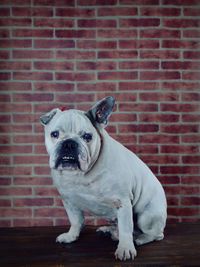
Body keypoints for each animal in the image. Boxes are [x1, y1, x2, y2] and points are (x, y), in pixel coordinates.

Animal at [39, 97, 166, 262]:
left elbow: (126, 228)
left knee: (154, 234)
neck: (80, 174)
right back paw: (108, 231)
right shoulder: (69, 201)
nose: (69, 143)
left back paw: (139, 239)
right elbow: (75, 221)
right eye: (54, 134)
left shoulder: (122, 202)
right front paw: (71, 236)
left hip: (146, 217)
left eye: (87, 137)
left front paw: (125, 248)